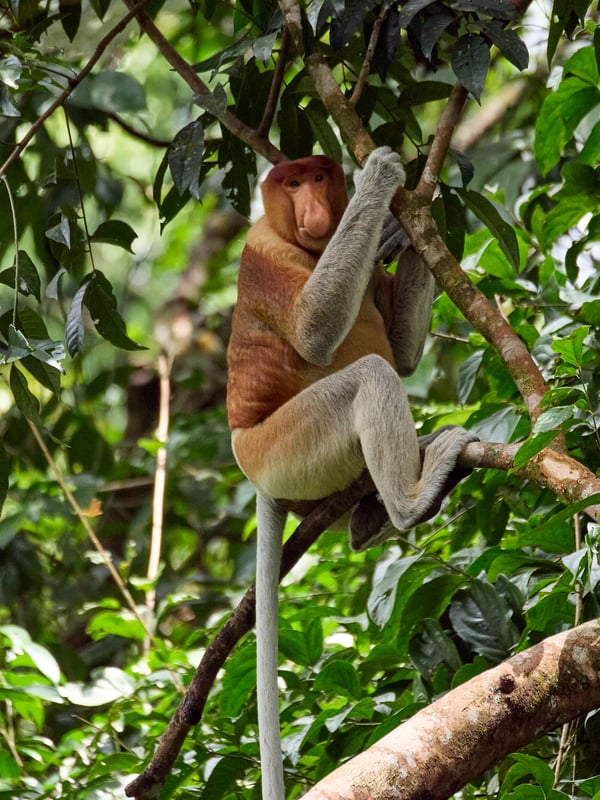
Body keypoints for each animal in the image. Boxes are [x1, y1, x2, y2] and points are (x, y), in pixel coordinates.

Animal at [226, 147, 477, 800]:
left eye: (318, 177)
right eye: (290, 184)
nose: (315, 209)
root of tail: (255, 471)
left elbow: (405, 351)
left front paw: (404, 225)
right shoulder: (264, 252)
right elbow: (317, 331)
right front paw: (381, 174)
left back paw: (373, 513)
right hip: (287, 446)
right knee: (368, 375)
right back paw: (413, 499)